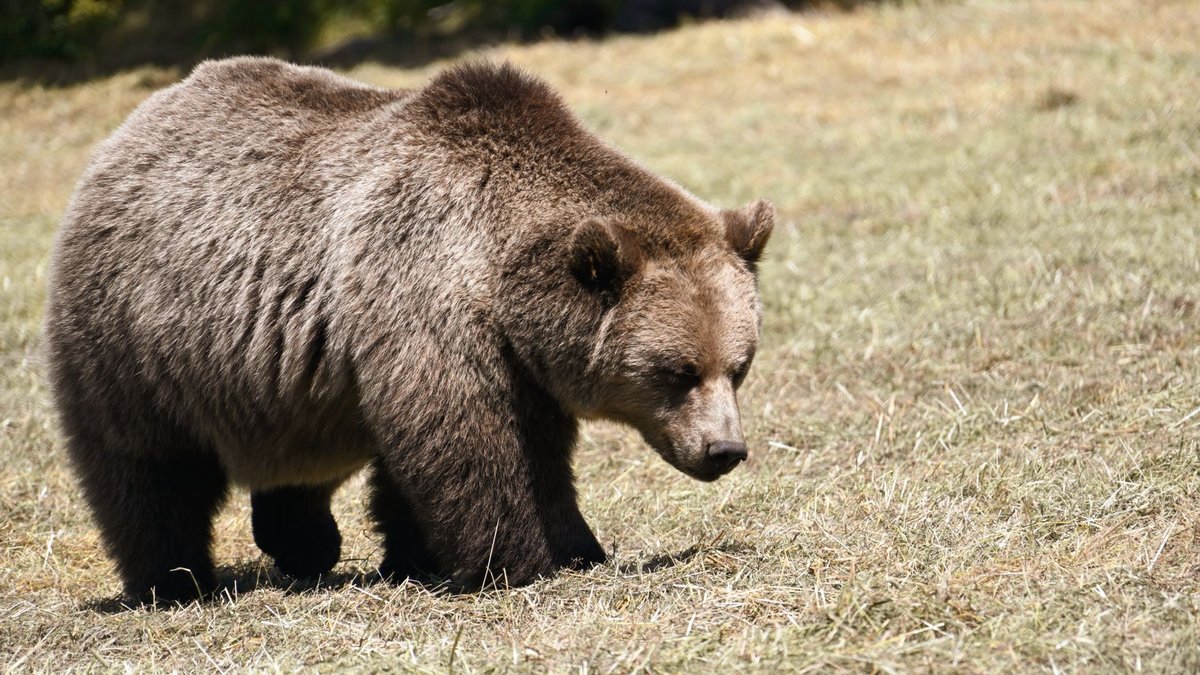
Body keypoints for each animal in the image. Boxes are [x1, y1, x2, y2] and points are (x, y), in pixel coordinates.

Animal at [43, 57, 774, 604]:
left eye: (738, 366)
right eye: (678, 371)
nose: (724, 450)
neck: (499, 274)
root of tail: (131, 128)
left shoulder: (518, 358)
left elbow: (526, 452)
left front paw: (571, 546)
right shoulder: (427, 297)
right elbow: (471, 443)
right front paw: (519, 560)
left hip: (281, 381)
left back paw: (304, 542)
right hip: (135, 337)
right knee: (146, 466)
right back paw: (174, 579)